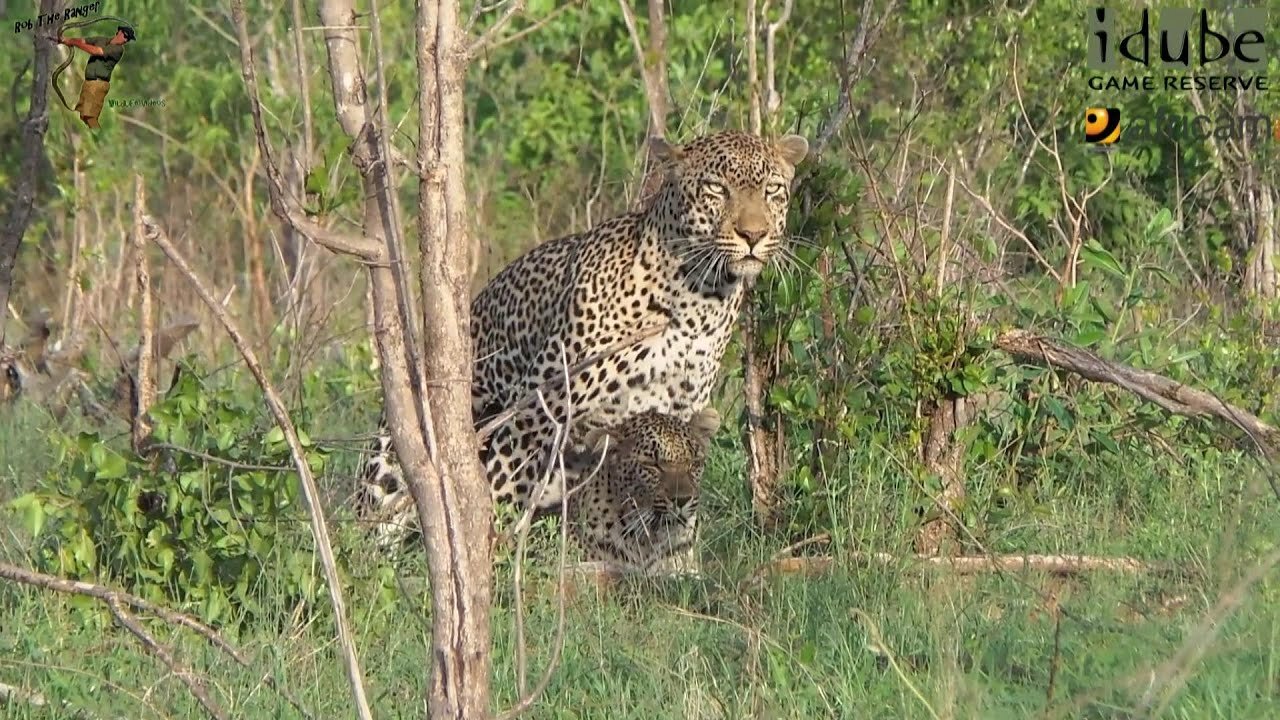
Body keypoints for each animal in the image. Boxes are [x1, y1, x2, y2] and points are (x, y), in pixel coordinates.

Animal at [355, 128, 803, 545]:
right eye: (716, 189)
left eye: (772, 190)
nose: (753, 235)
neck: (700, 298)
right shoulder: (538, 414)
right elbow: (501, 491)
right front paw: (491, 553)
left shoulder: (677, 412)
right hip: (395, 457)